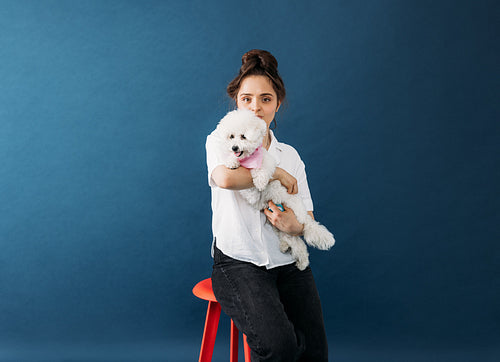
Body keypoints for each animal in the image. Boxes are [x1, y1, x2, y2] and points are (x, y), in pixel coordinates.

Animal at [216, 109, 336, 270]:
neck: (248, 159)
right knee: (295, 242)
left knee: (300, 244)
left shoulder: (267, 163)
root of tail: (305, 217)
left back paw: (302, 262)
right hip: (279, 227)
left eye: (243, 136)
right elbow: (243, 179)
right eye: (231, 136)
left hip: (293, 219)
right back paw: (288, 249)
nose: (234, 148)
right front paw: (232, 162)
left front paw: (260, 181)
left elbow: (262, 171)